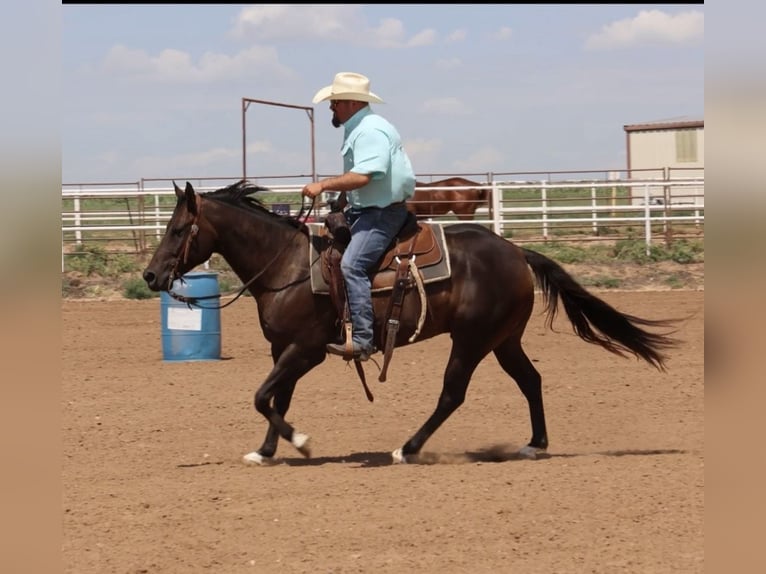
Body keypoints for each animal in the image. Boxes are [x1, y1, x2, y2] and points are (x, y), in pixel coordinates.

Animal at [142, 182, 680, 466]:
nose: (150, 275)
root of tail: (514, 251)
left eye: (178, 229)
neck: (288, 265)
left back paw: (408, 448)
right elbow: (276, 398)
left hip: (472, 340)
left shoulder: (308, 349)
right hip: (504, 339)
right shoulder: (284, 350)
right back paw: (534, 445)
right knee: (531, 380)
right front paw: (267, 450)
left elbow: (260, 396)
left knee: (452, 394)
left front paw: (300, 441)